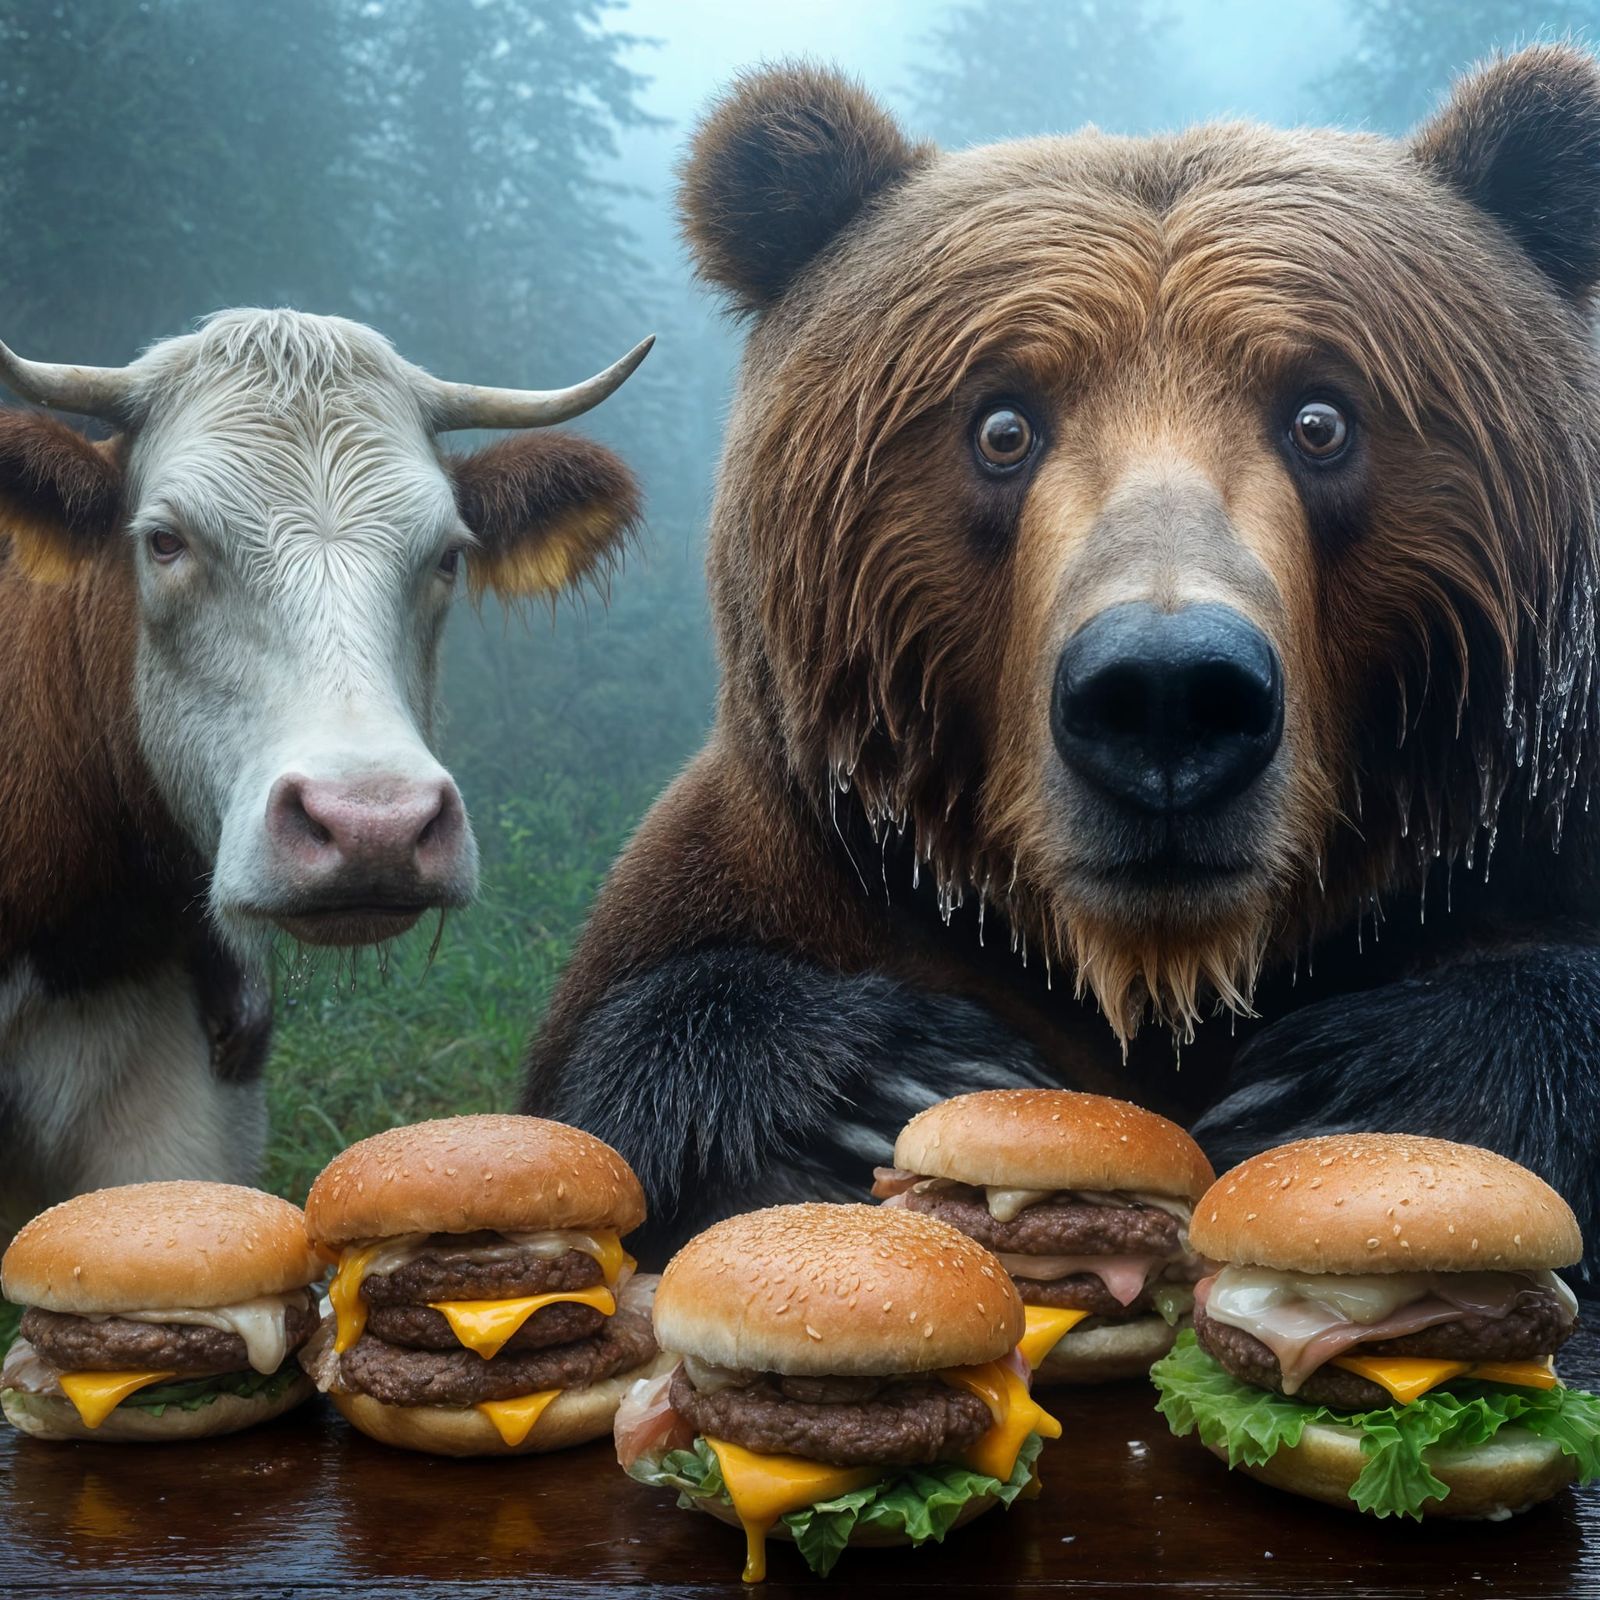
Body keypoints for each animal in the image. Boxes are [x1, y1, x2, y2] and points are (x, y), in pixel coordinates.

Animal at [525, 48, 1600, 1281]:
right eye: (1001, 424)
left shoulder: (1534, 848)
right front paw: (878, 1084)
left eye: (1323, 416)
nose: (1167, 694)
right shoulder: (755, 881)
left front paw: (1355, 1084)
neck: (1150, 980)